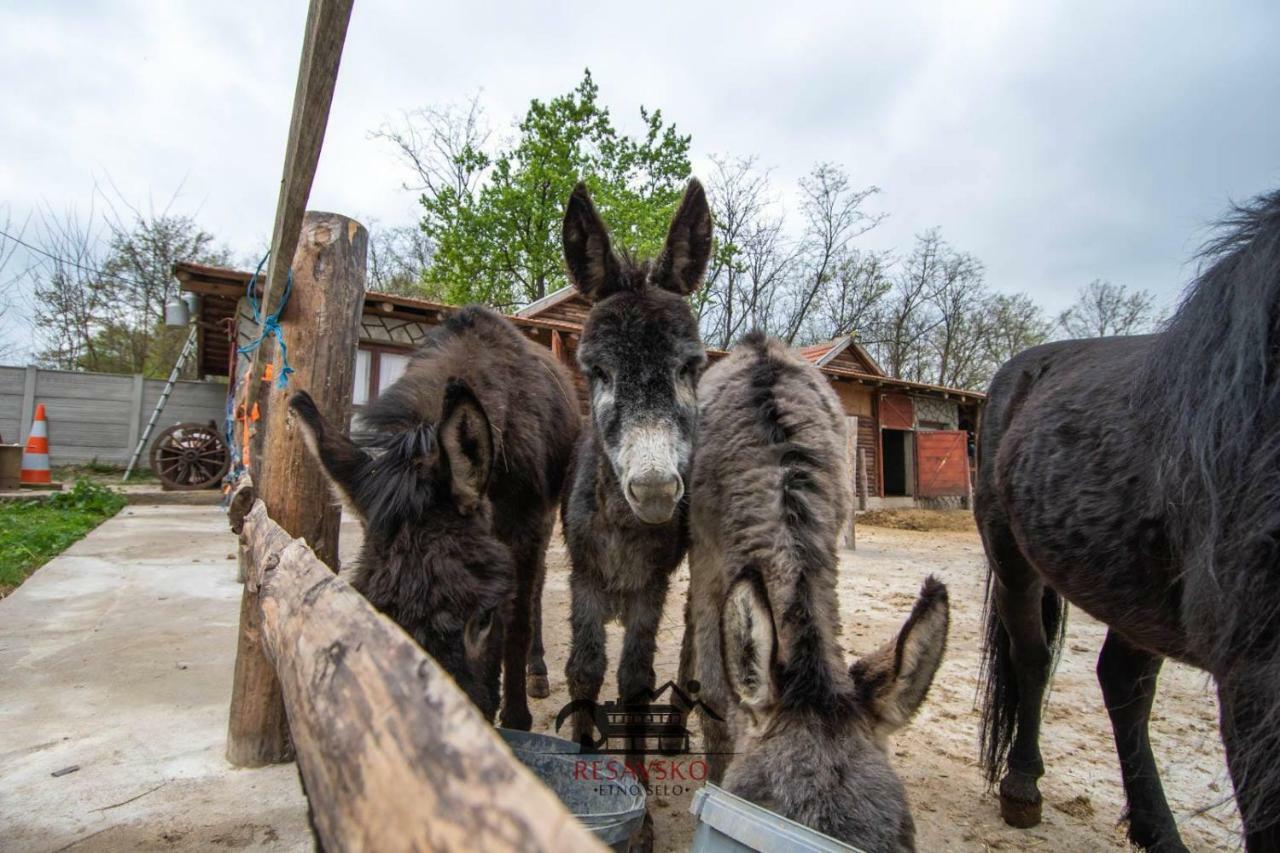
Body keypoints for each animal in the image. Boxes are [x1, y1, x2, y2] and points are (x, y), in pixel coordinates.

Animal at [977, 190, 1280, 850]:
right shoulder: (1253, 676)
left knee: (1121, 682)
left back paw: (1157, 830)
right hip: (1013, 559)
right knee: (1034, 657)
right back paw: (1023, 786)